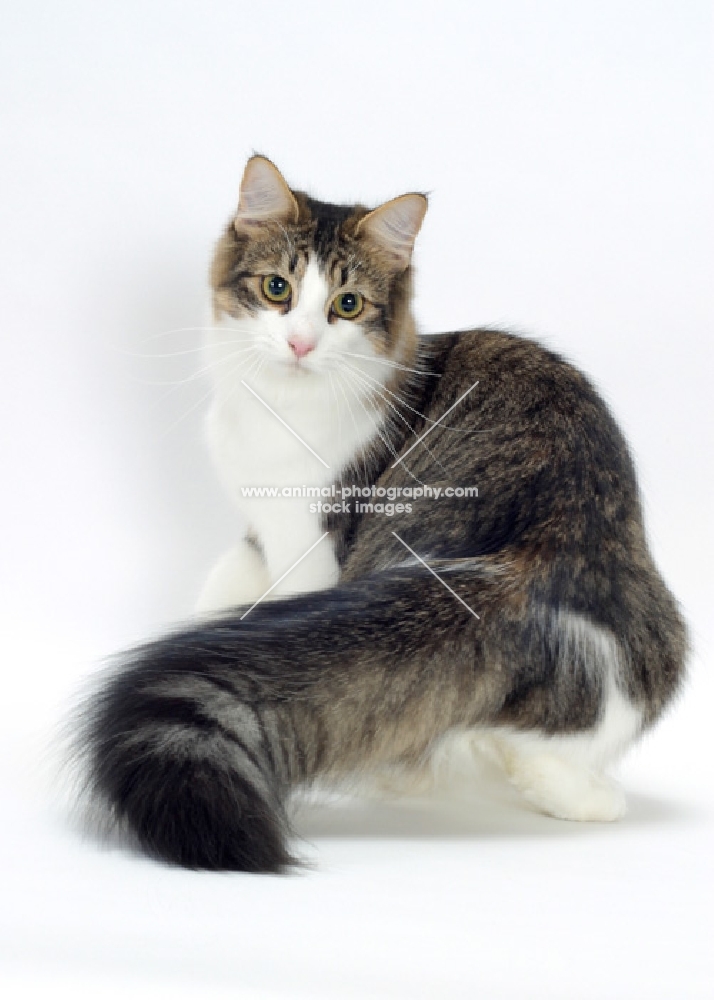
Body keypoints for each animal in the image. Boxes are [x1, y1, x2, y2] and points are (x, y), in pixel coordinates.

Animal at [75, 154, 688, 868]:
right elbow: (222, 595)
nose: (301, 344)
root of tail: (534, 559)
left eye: (347, 305)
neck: (276, 407)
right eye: (278, 288)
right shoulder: (259, 530)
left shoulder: (310, 543)